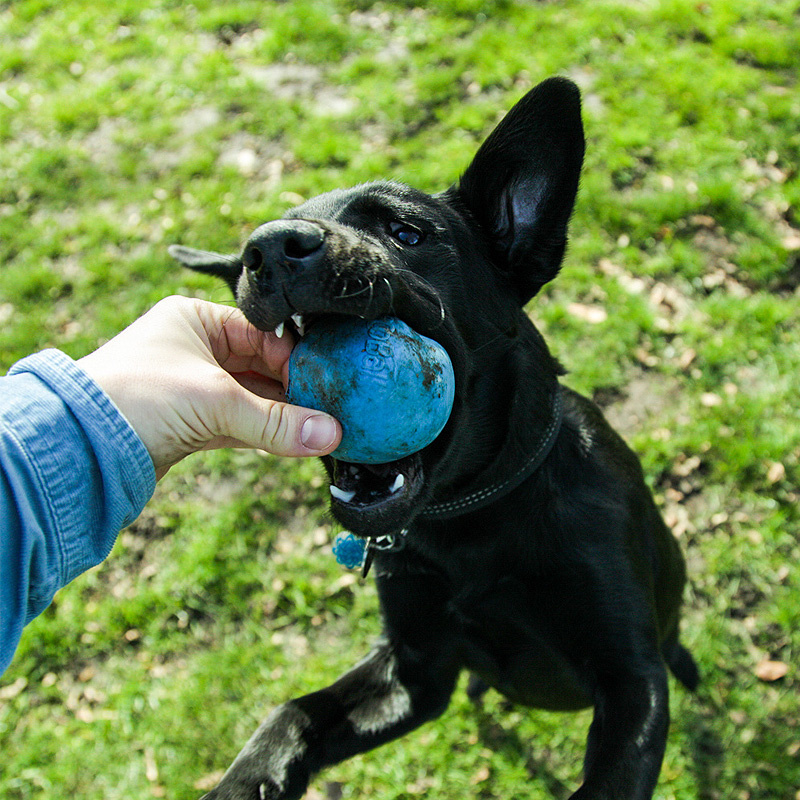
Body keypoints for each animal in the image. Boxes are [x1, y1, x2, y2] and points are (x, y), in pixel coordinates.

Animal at [172, 76, 696, 800]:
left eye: (406, 231)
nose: (267, 248)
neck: (470, 520)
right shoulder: (415, 671)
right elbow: (291, 714)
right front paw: (246, 780)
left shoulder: (632, 681)